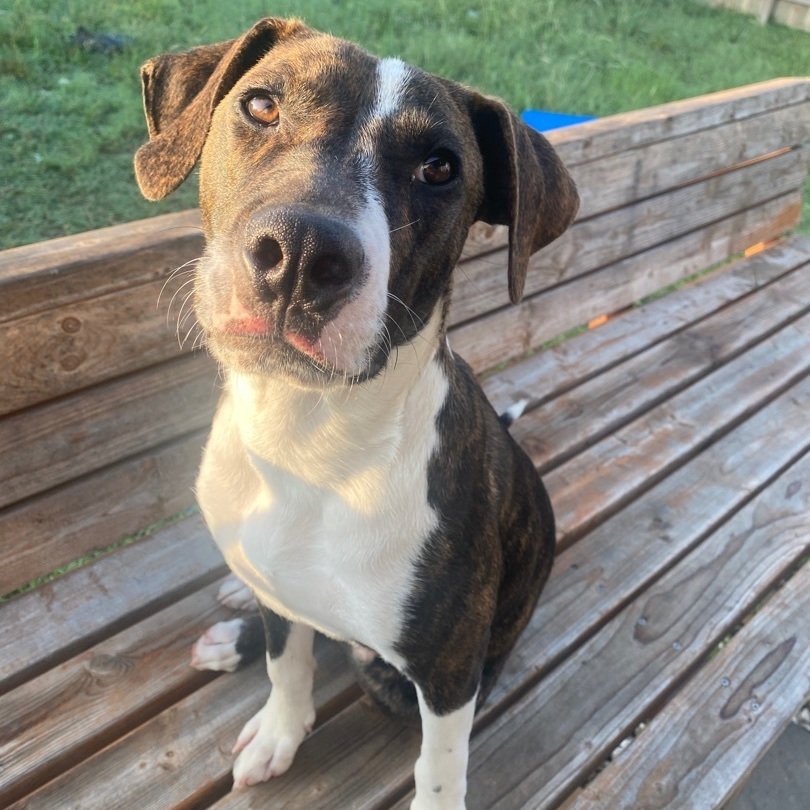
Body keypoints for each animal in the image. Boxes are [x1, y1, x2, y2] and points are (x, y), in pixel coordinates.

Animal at [134, 17, 576, 800]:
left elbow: (439, 766)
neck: (303, 442)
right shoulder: (285, 600)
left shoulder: (446, 673)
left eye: (440, 167)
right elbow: (287, 659)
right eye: (260, 105)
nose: (303, 253)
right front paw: (280, 728)